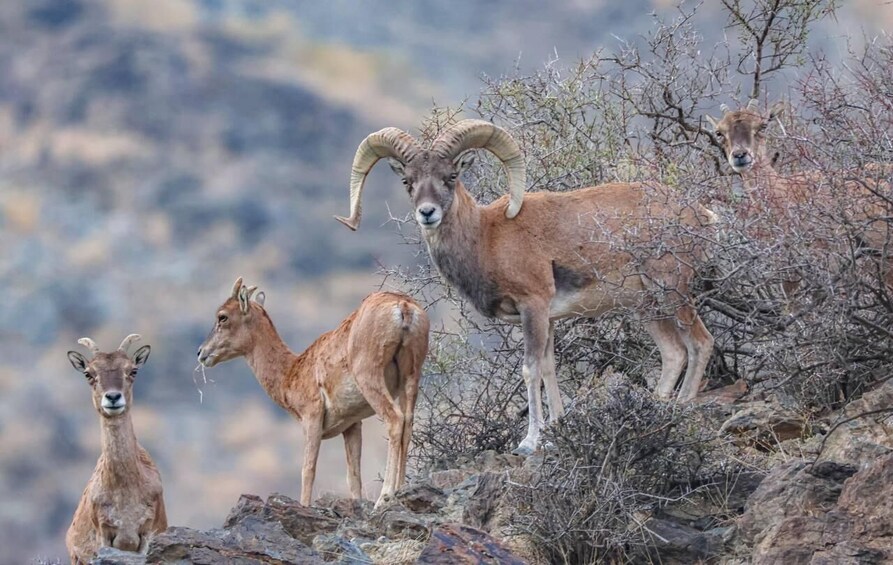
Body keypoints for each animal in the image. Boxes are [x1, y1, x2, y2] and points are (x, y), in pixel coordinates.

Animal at [197, 278, 429, 507]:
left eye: (223, 316)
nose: (201, 353)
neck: (291, 372)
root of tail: (403, 307)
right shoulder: (352, 425)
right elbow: (353, 475)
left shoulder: (312, 417)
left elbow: (308, 470)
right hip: (411, 376)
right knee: (408, 423)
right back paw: (400, 489)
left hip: (369, 376)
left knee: (395, 420)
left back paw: (385, 497)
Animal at [334, 119, 717, 455]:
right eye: (408, 181)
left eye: (451, 176)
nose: (427, 213)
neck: (487, 237)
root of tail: (700, 216)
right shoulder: (545, 320)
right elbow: (548, 370)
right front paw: (554, 433)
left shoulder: (534, 308)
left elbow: (530, 370)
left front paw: (529, 442)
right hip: (648, 308)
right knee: (674, 353)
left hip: (671, 293)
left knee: (700, 343)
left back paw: (681, 409)